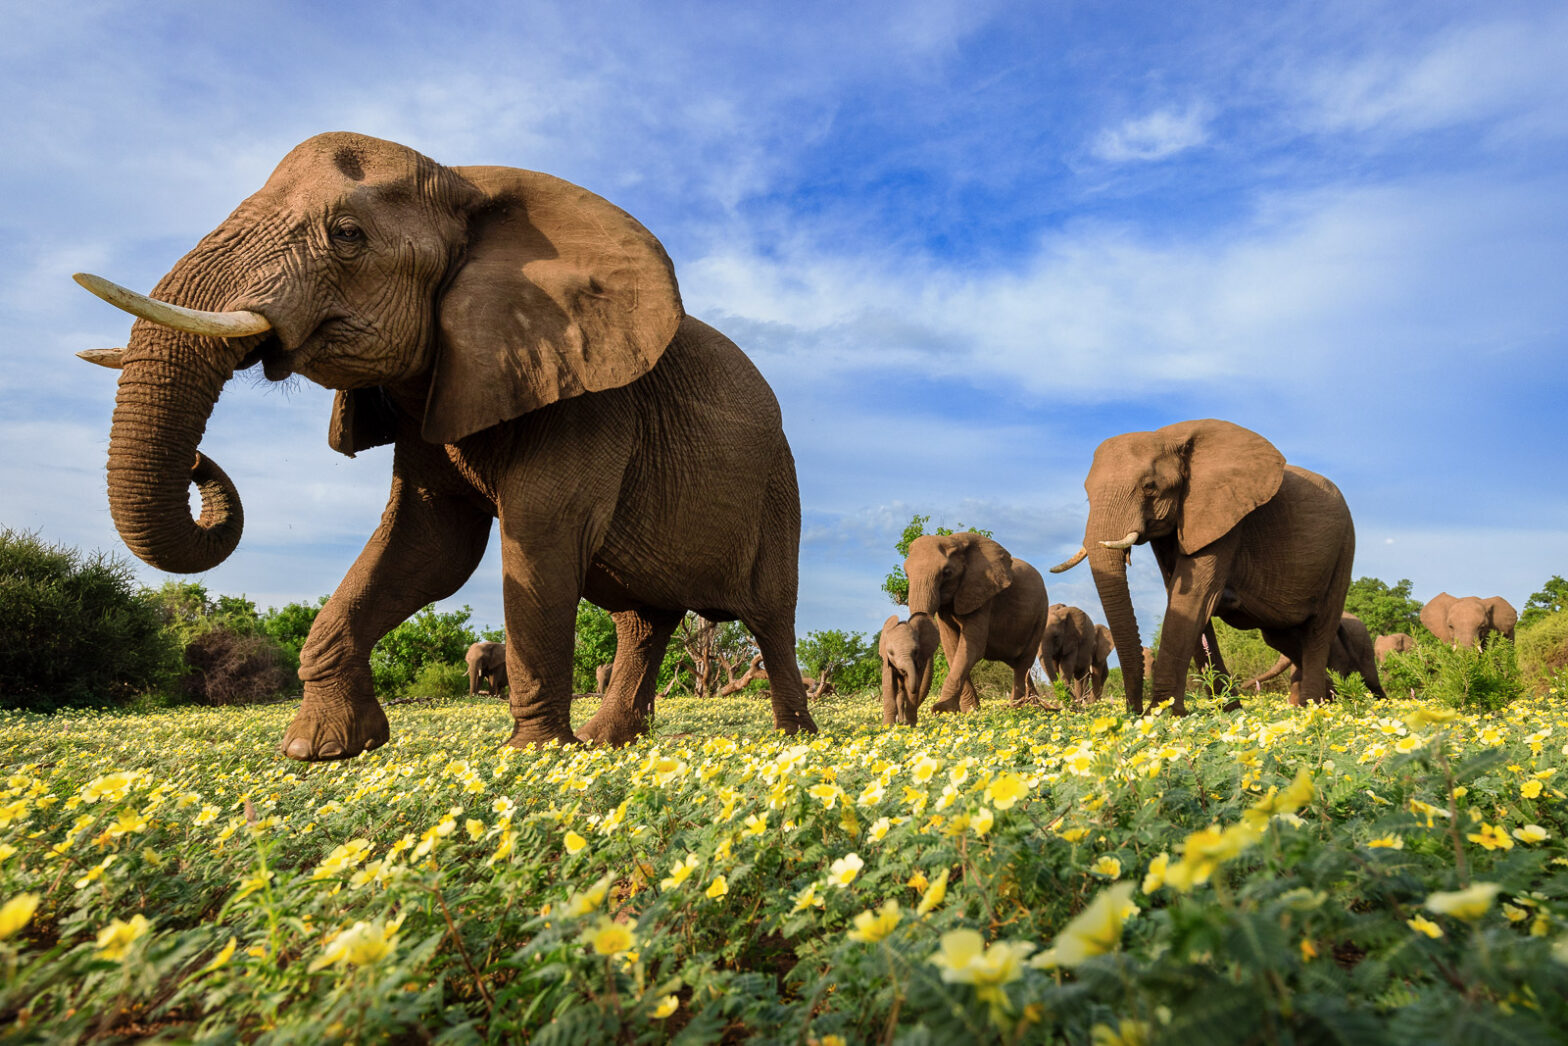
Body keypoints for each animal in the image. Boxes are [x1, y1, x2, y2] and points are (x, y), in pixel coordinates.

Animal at [73, 130, 815, 762]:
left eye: (348, 235)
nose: (200, 462)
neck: (468, 185)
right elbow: (428, 547)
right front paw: (321, 750)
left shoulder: (591, 400)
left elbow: (537, 538)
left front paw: (535, 758)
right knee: (643, 620)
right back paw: (608, 744)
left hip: (778, 488)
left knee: (770, 617)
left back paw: (792, 739)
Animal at [903, 533, 1047, 711]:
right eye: (906, 574)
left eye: (947, 572)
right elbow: (951, 647)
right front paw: (968, 711)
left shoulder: (982, 594)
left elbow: (972, 647)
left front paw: (942, 710)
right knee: (1019, 665)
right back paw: (1035, 705)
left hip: (1041, 614)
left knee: (1024, 662)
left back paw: (1016, 708)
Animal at [1053, 420, 1361, 715]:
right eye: (1087, 494)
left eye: (1150, 486)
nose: (1134, 711)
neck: (1169, 436)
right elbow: (1179, 594)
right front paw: (1227, 711)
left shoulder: (1225, 515)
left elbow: (1193, 597)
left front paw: (1162, 715)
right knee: (1283, 636)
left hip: (1344, 548)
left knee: (1319, 629)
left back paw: (1313, 707)